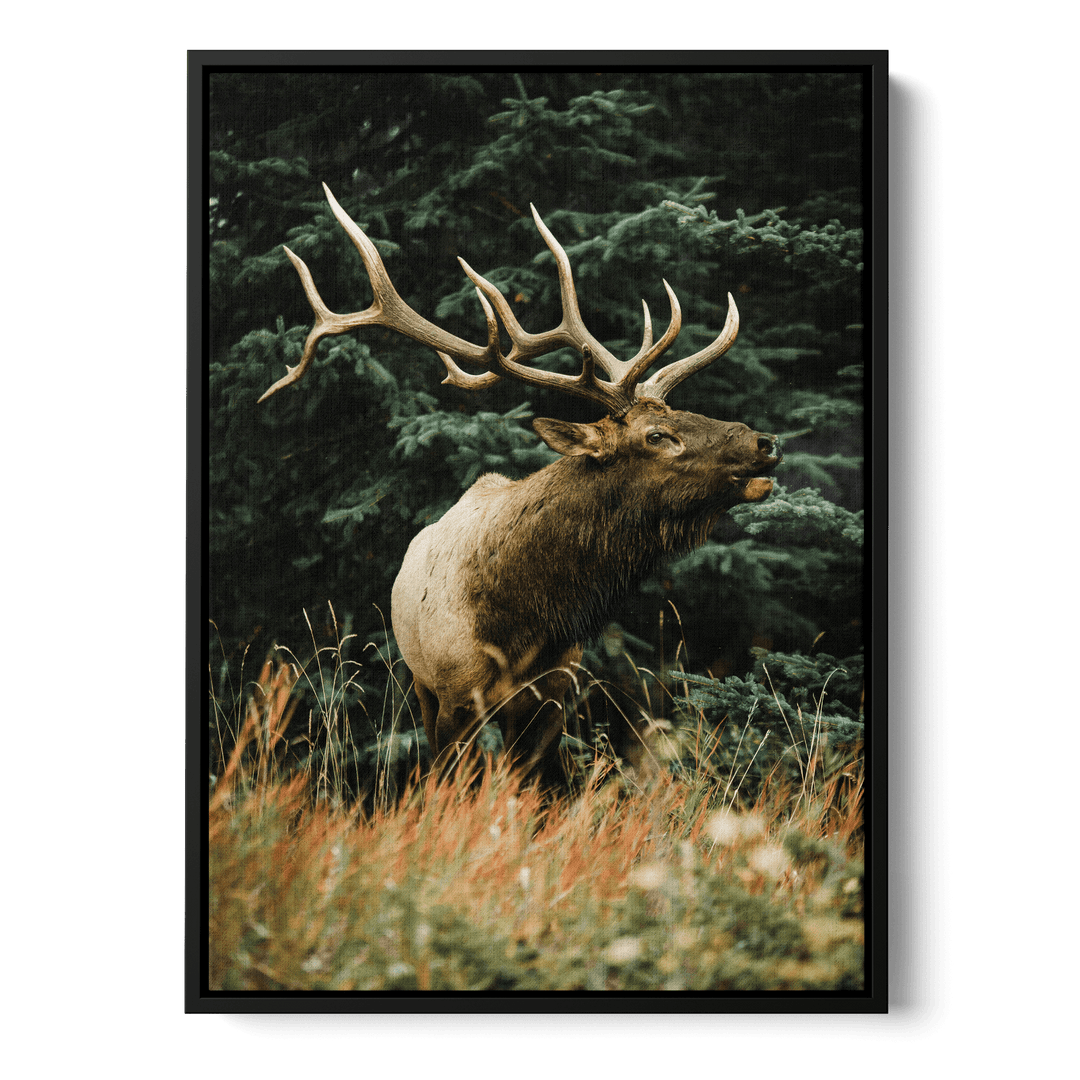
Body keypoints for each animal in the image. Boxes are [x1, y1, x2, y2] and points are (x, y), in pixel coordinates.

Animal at [259, 184, 781, 788]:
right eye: (657, 435)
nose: (765, 441)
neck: (523, 621)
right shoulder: (454, 693)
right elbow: (449, 780)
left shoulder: (554, 696)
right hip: (418, 682)